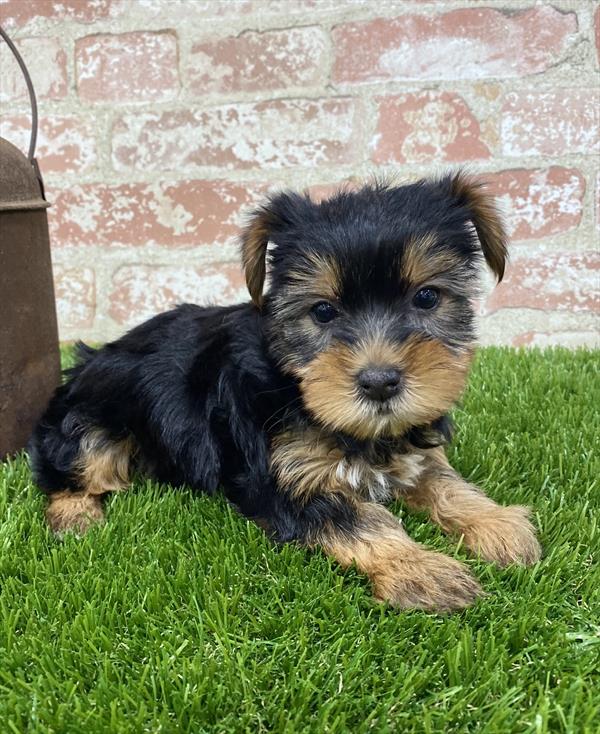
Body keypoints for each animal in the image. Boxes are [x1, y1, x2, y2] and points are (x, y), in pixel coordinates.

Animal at [30, 174, 540, 616]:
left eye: (428, 298)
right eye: (322, 312)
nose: (379, 382)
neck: (296, 385)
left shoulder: (411, 449)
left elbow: (444, 481)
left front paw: (499, 526)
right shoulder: (284, 478)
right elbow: (363, 519)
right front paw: (423, 572)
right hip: (87, 421)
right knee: (70, 469)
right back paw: (76, 519)